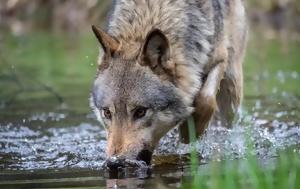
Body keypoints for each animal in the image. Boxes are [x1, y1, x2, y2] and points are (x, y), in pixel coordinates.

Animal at [90, 0, 247, 168]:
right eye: (107, 113)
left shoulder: (220, 58)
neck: (150, 14)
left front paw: (190, 133)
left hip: (231, 85)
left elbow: (205, 99)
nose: (115, 163)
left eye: (140, 112)